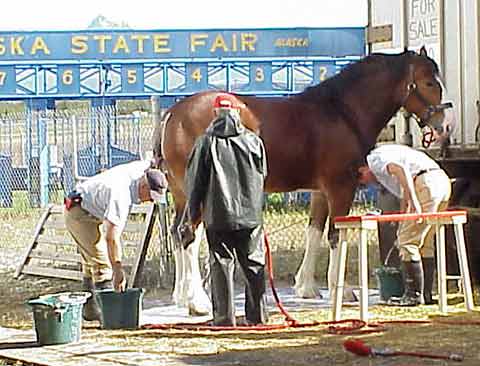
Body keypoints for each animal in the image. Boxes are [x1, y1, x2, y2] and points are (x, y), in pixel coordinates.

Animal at [151, 46, 454, 314]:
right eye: (429, 82)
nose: (446, 124)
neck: (342, 112)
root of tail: (172, 114)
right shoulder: (340, 187)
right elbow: (336, 234)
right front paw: (342, 290)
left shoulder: (320, 191)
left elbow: (314, 232)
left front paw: (306, 287)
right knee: (187, 233)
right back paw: (197, 303)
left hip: (181, 193)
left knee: (177, 233)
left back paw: (181, 296)